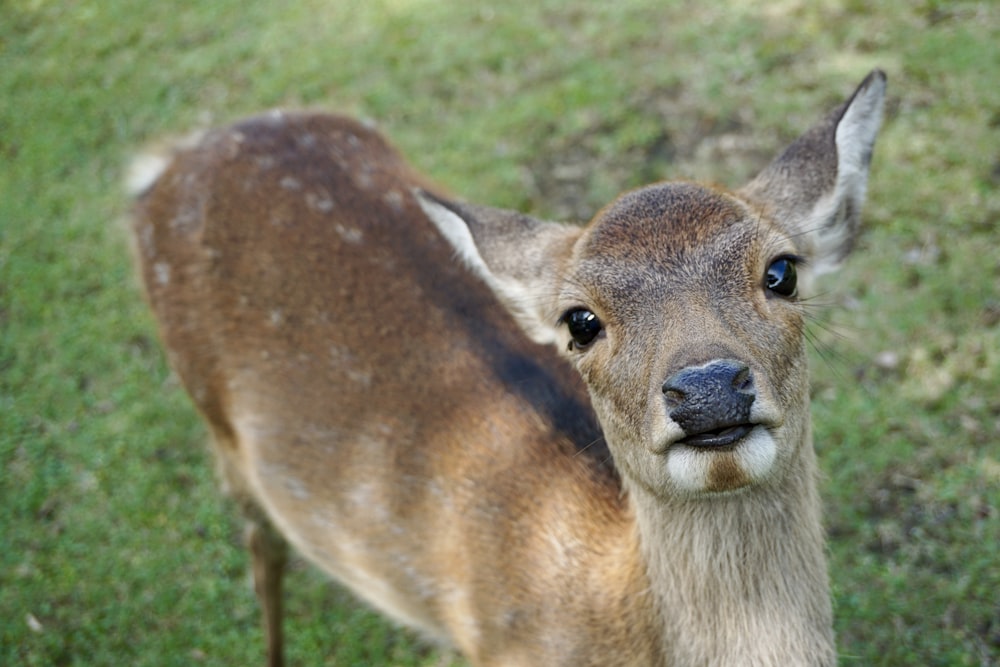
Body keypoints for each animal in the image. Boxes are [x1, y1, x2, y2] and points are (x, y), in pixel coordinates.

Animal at [129, 70, 888, 664]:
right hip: (212, 413)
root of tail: (167, 159)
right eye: (580, 321)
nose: (706, 388)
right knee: (263, 545)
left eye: (782, 270)